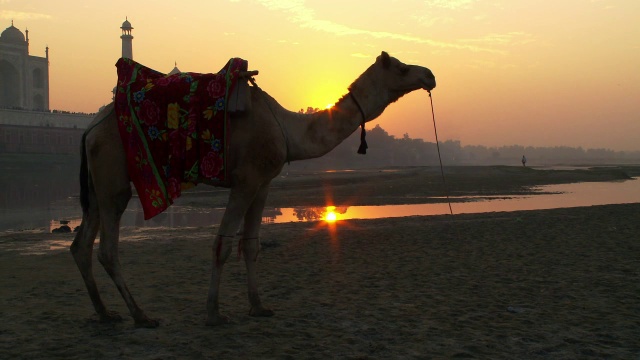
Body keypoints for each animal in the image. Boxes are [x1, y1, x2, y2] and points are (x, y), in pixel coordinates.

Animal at [72, 50, 438, 326]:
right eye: (403, 68)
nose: (430, 75)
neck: (287, 129)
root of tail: (90, 128)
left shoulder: (263, 183)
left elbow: (251, 245)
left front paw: (259, 306)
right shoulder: (245, 179)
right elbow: (221, 244)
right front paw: (213, 313)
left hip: (97, 184)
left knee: (81, 245)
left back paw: (106, 313)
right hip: (113, 175)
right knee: (107, 248)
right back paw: (141, 315)